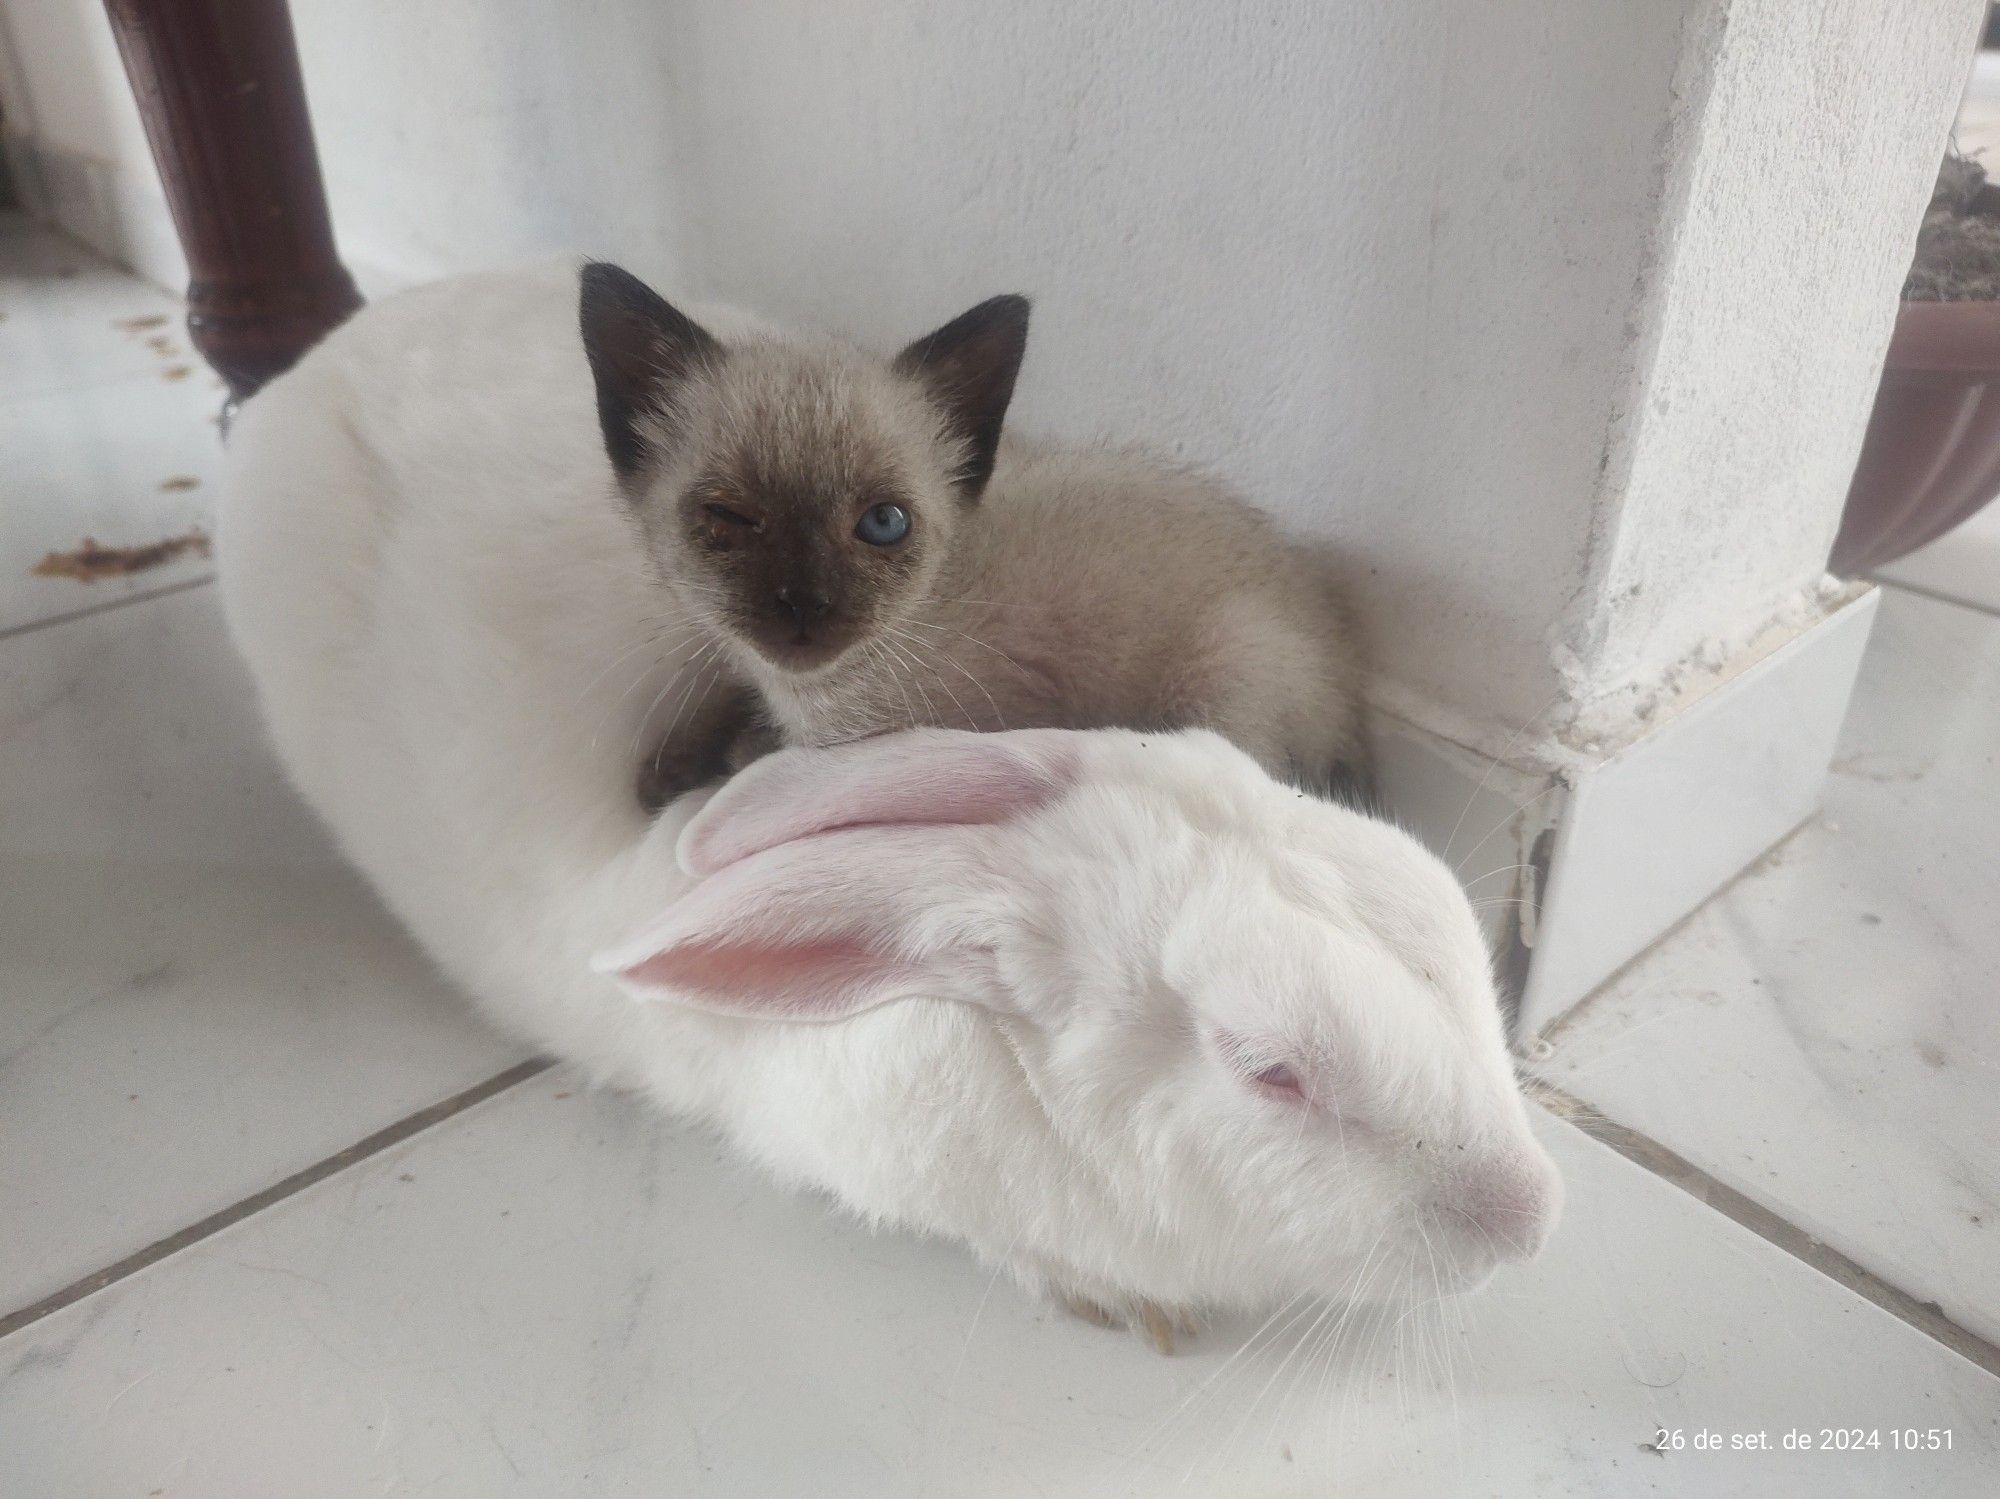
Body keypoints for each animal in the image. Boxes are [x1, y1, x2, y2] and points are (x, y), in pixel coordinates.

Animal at [572, 265, 1368, 815]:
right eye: (731, 518)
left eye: (883, 523)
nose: (806, 604)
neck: (811, 693)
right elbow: (727, 692)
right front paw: (670, 768)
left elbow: (755, 752)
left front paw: (720, 760)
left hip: (1225, 679)